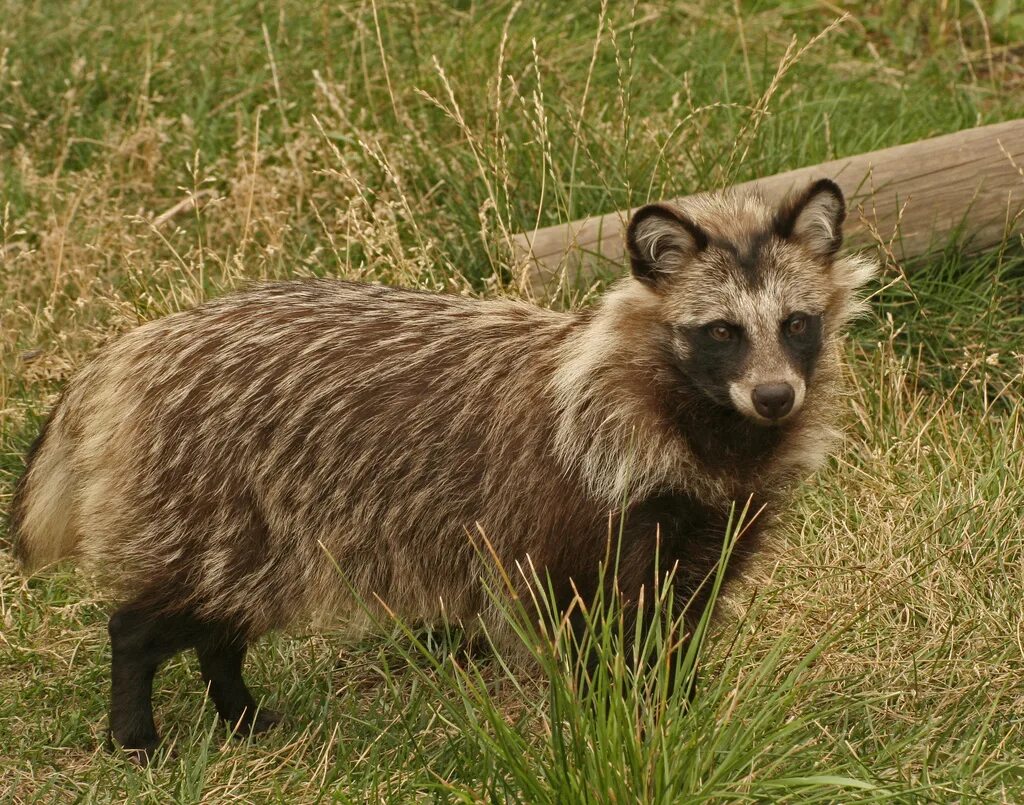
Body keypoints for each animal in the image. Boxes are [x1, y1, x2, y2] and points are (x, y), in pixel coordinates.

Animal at [8, 179, 872, 761]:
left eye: (797, 323)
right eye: (722, 331)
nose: (775, 396)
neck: (707, 430)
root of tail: (135, 345)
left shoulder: (707, 522)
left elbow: (680, 622)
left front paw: (679, 708)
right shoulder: (570, 507)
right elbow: (577, 631)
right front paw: (604, 726)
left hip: (259, 519)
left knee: (227, 612)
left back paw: (239, 706)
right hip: (213, 488)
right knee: (163, 610)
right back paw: (136, 716)